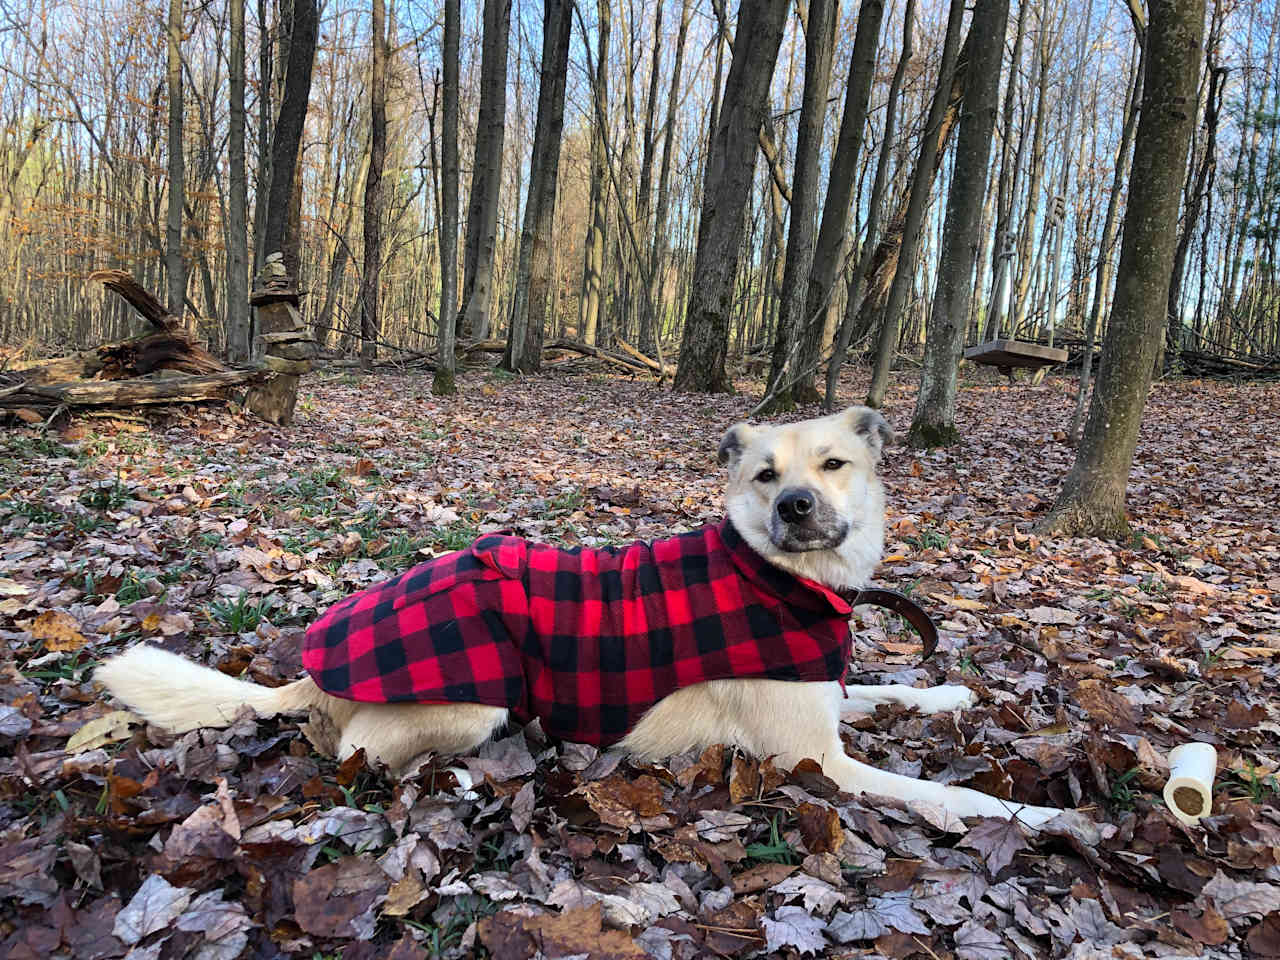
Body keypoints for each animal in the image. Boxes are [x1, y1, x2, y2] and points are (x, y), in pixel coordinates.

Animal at [97, 407, 1059, 829]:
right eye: (764, 476)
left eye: (833, 465)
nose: (793, 506)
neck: (780, 576)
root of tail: (309, 671)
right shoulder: (815, 761)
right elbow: (945, 791)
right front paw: (1045, 821)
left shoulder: (820, 695)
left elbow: (890, 692)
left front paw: (951, 699)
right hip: (476, 695)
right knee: (355, 750)